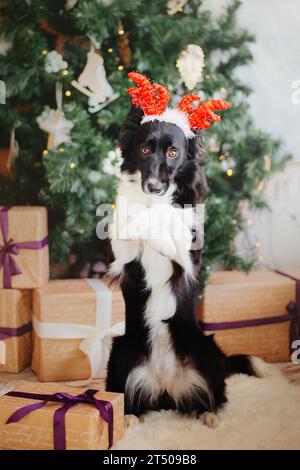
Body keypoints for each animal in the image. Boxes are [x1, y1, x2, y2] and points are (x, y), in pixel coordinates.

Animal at [105, 72, 264, 426]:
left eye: (173, 153)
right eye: (144, 149)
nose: (153, 186)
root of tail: (166, 387)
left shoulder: (189, 256)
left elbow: (171, 229)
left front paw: (163, 235)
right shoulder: (121, 253)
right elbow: (133, 220)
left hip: (207, 350)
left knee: (214, 395)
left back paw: (209, 415)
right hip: (120, 354)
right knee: (128, 398)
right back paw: (129, 417)